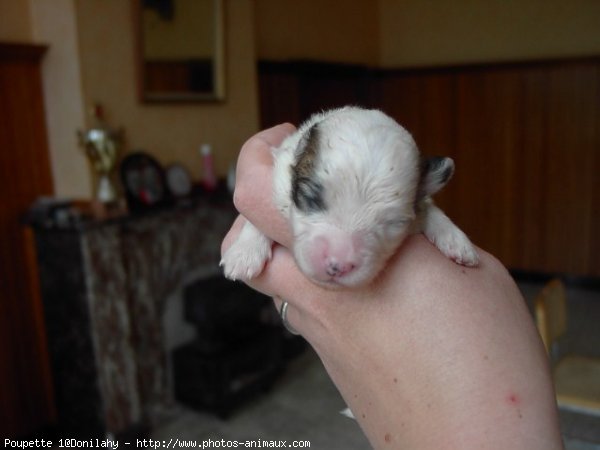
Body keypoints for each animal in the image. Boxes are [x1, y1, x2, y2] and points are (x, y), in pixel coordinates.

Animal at [220, 107, 478, 286]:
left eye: (394, 223)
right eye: (310, 198)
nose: (338, 265)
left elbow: (429, 208)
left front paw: (458, 241)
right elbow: (254, 219)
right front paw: (244, 253)